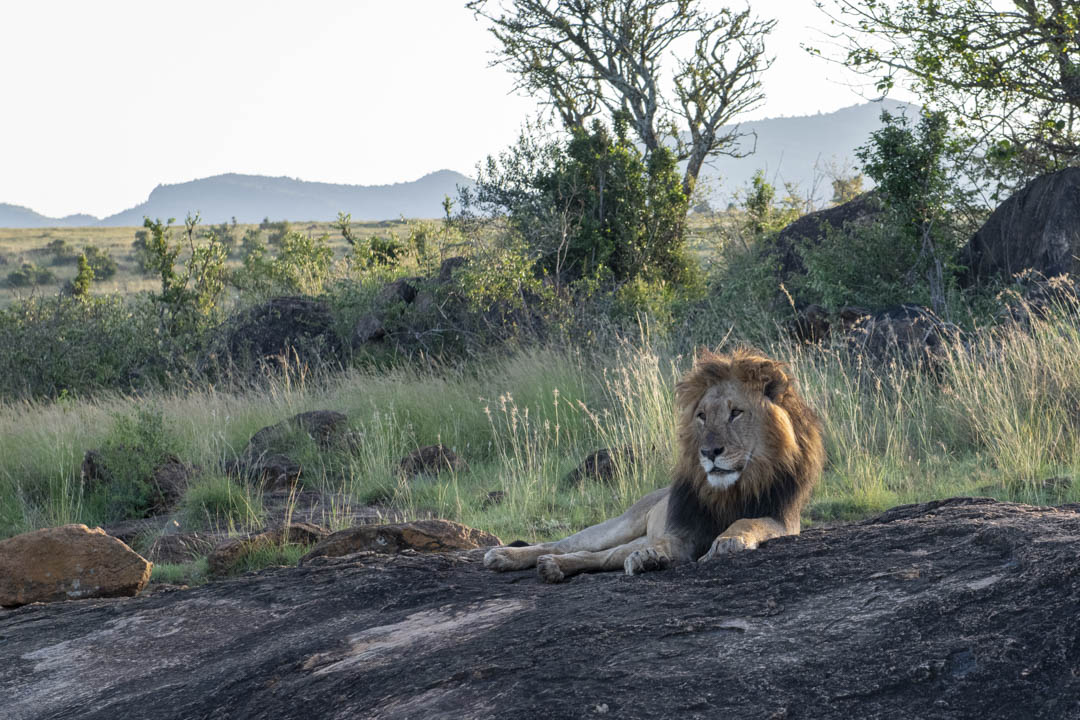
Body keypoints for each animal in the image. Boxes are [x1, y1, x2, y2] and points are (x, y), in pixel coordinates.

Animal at [484, 348, 825, 583]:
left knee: (597, 556)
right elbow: (661, 545)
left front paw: (727, 541)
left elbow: (747, 522)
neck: (732, 489)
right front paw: (652, 557)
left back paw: (556, 566)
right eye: (702, 416)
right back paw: (506, 556)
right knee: (567, 545)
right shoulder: (681, 531)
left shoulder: (784, 519)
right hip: (621, 525)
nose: (709, 452)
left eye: (736, 413)